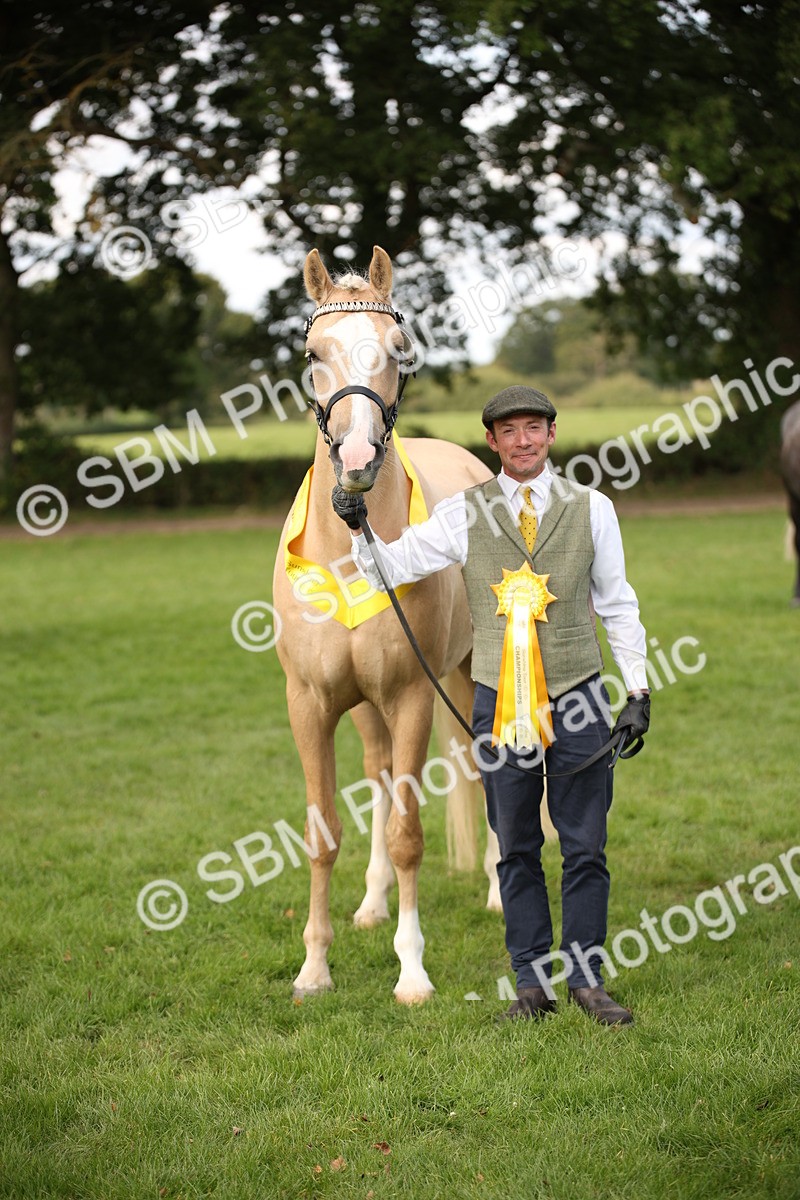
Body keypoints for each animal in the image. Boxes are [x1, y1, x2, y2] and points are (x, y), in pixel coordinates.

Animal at [272, 245, 502, 1003]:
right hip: (365, 706)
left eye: (398, 349)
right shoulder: (311, 704)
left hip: (466, 673)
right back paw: (371, 903)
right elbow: (324, 834)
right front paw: (314, 968)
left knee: (484, 764)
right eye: (312, 352)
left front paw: (413, 973)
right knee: (375, 777)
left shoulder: (409, 698)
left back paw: (497, 888)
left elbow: (409, 835)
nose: (355, 460)